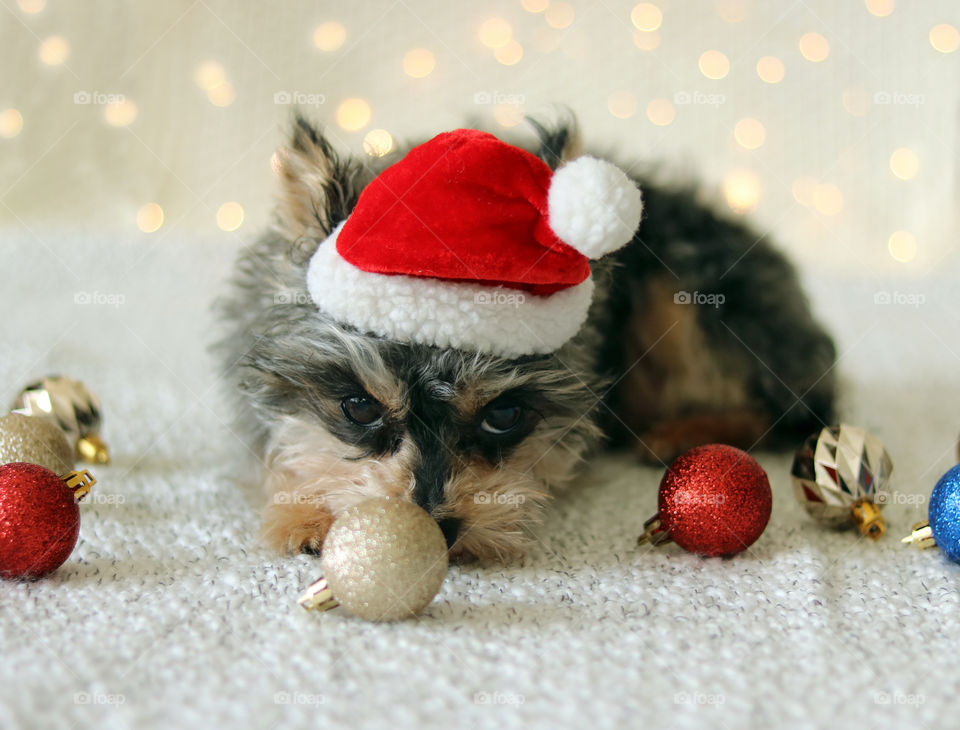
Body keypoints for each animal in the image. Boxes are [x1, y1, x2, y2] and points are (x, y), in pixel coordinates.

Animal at [214, 114, 836, 560]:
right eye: (358, 407)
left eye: (504, 415)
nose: (436, 530)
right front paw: (304, 511)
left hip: (685, 301)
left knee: (780, 406)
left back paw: (683, 430)